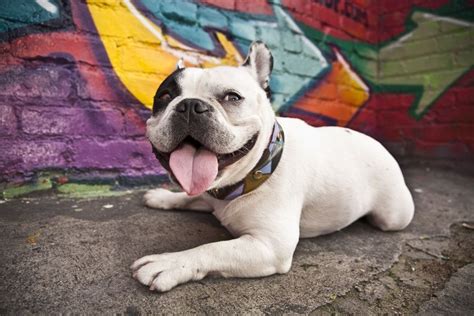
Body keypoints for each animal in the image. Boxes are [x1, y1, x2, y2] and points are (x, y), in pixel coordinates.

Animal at [131, 41, 414, 292]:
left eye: (232, 97)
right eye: (164, 96)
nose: (189, 104)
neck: (255, 172)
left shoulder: (270, 245)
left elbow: (213, 248)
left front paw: (170, 262)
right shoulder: (209, 195)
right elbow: (189, 197)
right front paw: (163, 197)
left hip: (394, 216)